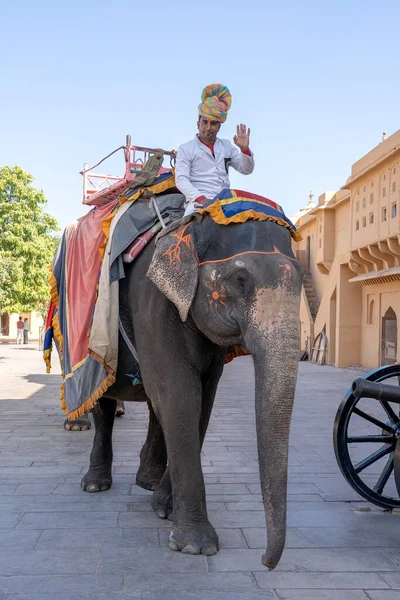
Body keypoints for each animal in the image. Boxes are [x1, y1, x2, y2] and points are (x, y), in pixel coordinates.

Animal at [79, 213, 302, 568]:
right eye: (240, 280)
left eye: (302, 281)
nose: (265, 561)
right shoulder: (153, 304)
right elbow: (179, 394)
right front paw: (195, 546)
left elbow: (202, 400)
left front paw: (164, 507)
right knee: (103, 400)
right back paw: (95, 485)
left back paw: (147, 481)